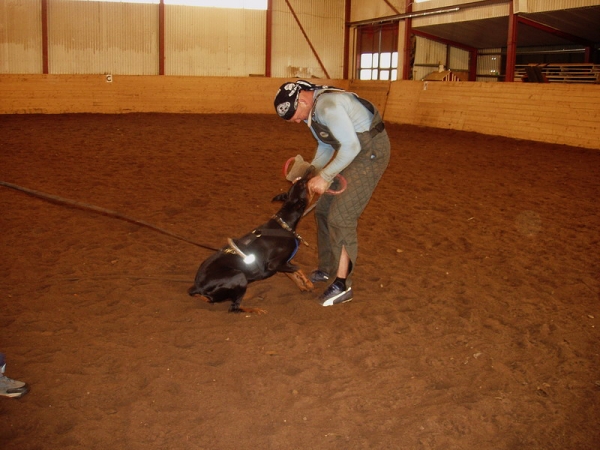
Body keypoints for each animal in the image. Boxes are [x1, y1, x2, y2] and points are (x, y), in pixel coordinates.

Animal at [189, 169, 316, 312]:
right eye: (302, 184)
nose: (310, 169)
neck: (284, 224)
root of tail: (197, 287)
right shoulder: (274, 264)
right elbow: (298, 269)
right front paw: (308, 283)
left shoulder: (284, 262)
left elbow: (292, 273)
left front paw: (302, 286)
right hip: (239, 276)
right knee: (234, 307)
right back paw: (254, 310)